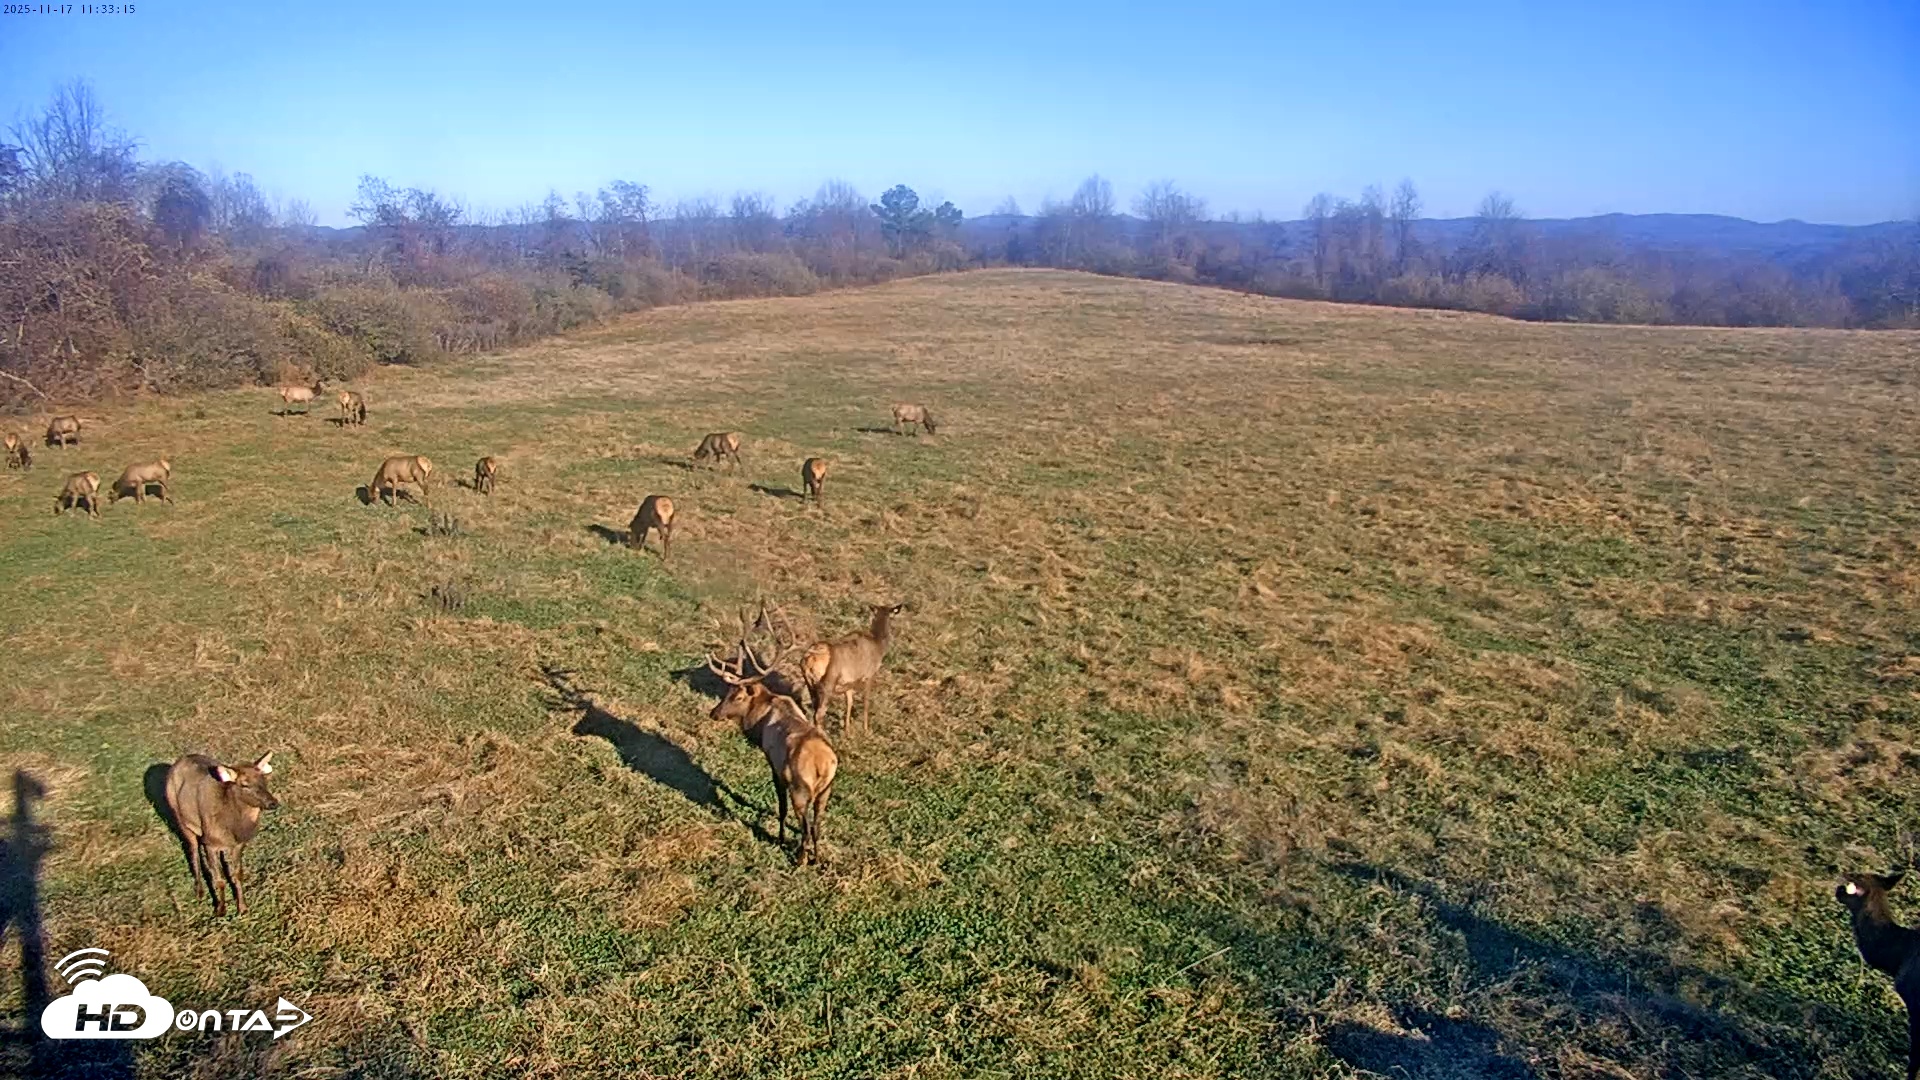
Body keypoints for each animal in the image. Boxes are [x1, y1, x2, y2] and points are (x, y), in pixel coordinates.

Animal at [164, 752, 280, 916]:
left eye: (264, 780)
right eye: (244, 784)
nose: (273, 803)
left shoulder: (238, 844)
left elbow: (238, 875)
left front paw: (242, 907)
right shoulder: (210, 844)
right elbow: (218, 879)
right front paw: (220, 909)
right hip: (180, 818)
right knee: (193, 852)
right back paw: (199, 891)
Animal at [707, 629, 837, 866]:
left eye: (738, 697)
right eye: (727, 691)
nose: (714, 713)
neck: (759, 723)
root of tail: (823, 766)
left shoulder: (775, 766)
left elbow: (781, 807)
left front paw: (781, 838)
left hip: (800, 790)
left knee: (805, 827)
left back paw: (800, 859)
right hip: (825, 791)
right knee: (817, 826)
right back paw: (816, 858)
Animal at [803, 602, 906, 737]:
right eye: (892, 615)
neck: (879, 646)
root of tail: (811, 658)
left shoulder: (849, 681)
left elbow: (849, 702)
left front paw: (848, 731)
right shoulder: (869, 674)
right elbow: (866, 702)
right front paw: (866, 731)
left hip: (810, 683)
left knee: (814, 710)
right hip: (828, 683)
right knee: (818, 714)